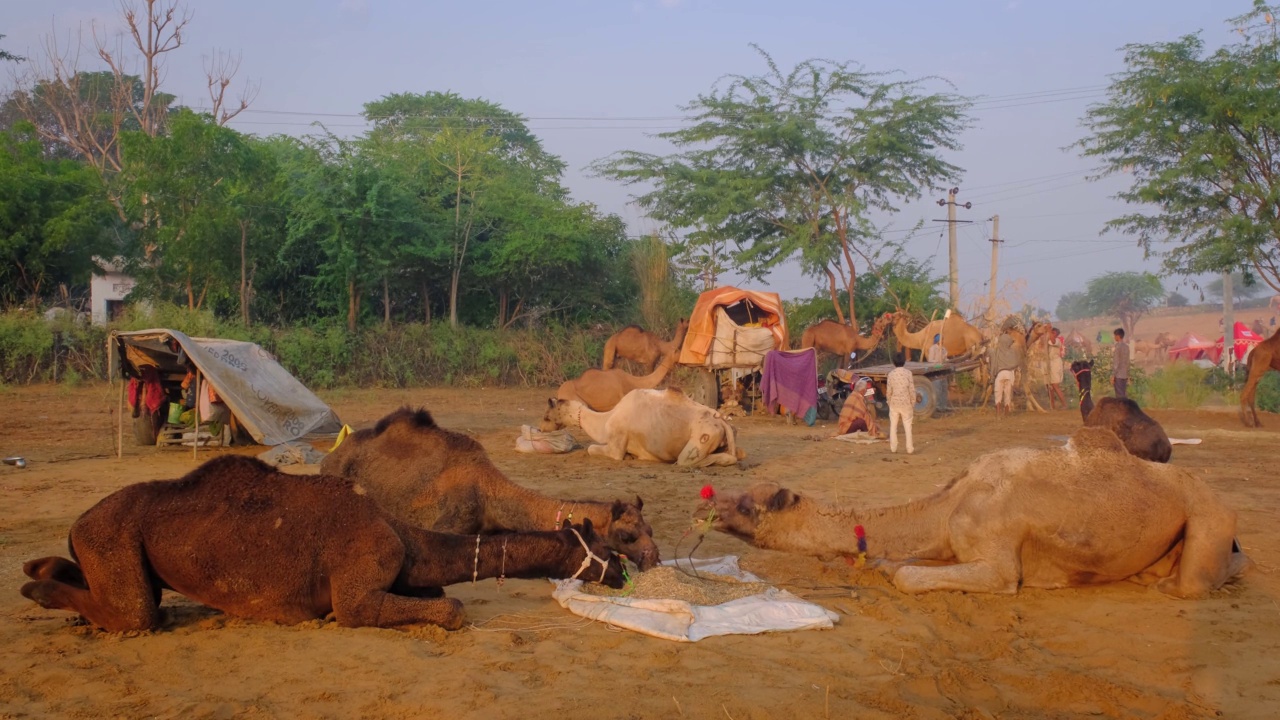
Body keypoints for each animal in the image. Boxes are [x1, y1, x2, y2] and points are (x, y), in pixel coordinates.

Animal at [17, 456, 622, 630]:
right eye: (605, 550)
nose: (620, 575)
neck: (403, 536)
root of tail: (78, 521)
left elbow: (435, 595)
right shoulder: (359, 586)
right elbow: (449, 608)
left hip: (107, 546)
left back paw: (37, 569)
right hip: (114, 538)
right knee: (137, 613)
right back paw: (36, 593)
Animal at [320, 407, 660, 568]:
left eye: (650, 530)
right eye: (627, 535)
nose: (653, 559)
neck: (490, 494)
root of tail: (330, 457)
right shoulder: (448, 522)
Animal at [701, 422, 1249, 597]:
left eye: (748, 504)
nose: (709, 504)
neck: (946, 507)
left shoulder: (998, 560)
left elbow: (908, 576)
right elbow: (897, 563)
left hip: (1209, 513)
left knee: (1198, 580)